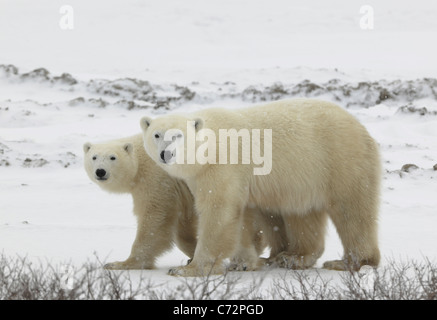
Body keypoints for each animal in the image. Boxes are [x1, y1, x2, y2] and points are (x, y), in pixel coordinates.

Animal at [141, 99, 380, 276]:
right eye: (157, 134)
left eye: (178, 135)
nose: (166, 154)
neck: (211, 148)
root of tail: (359, 126)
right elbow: (242, 218)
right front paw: (244, 263)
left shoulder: (222, 168)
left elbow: (219, 212)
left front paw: (187, 268)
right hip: (305, 180)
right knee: (302, 214)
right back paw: (291, 257)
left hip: (340, 160)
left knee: (352, 211)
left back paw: (350, 262)